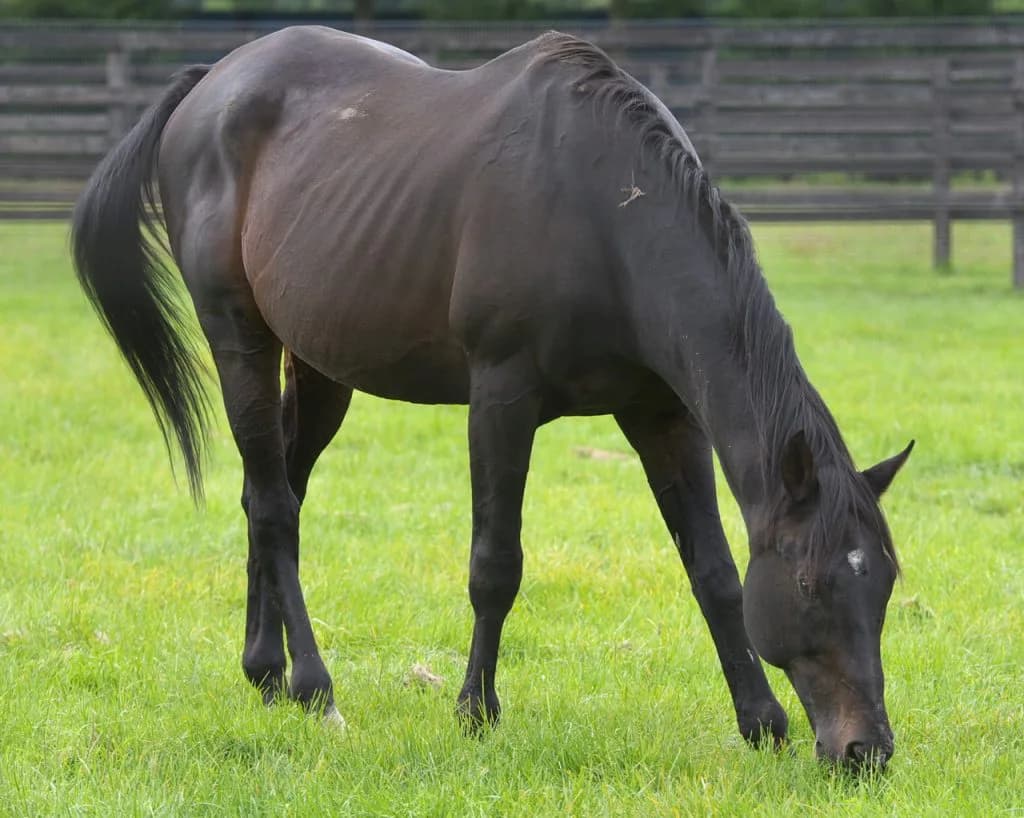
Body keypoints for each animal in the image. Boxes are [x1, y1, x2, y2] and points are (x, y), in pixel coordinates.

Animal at [71, 26, 913, 770]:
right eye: (808, 584)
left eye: (883, 582)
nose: (865, 751)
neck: (605, 210)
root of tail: (210, 83)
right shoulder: (503, 400)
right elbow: (495, 564)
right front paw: (476, 711)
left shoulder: (662, 415)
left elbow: (713, 570)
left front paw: (760, 720)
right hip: (238, 337)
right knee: (275, 504)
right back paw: (315, 688)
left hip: (319, 366)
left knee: (271, 490)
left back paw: (265, 673)